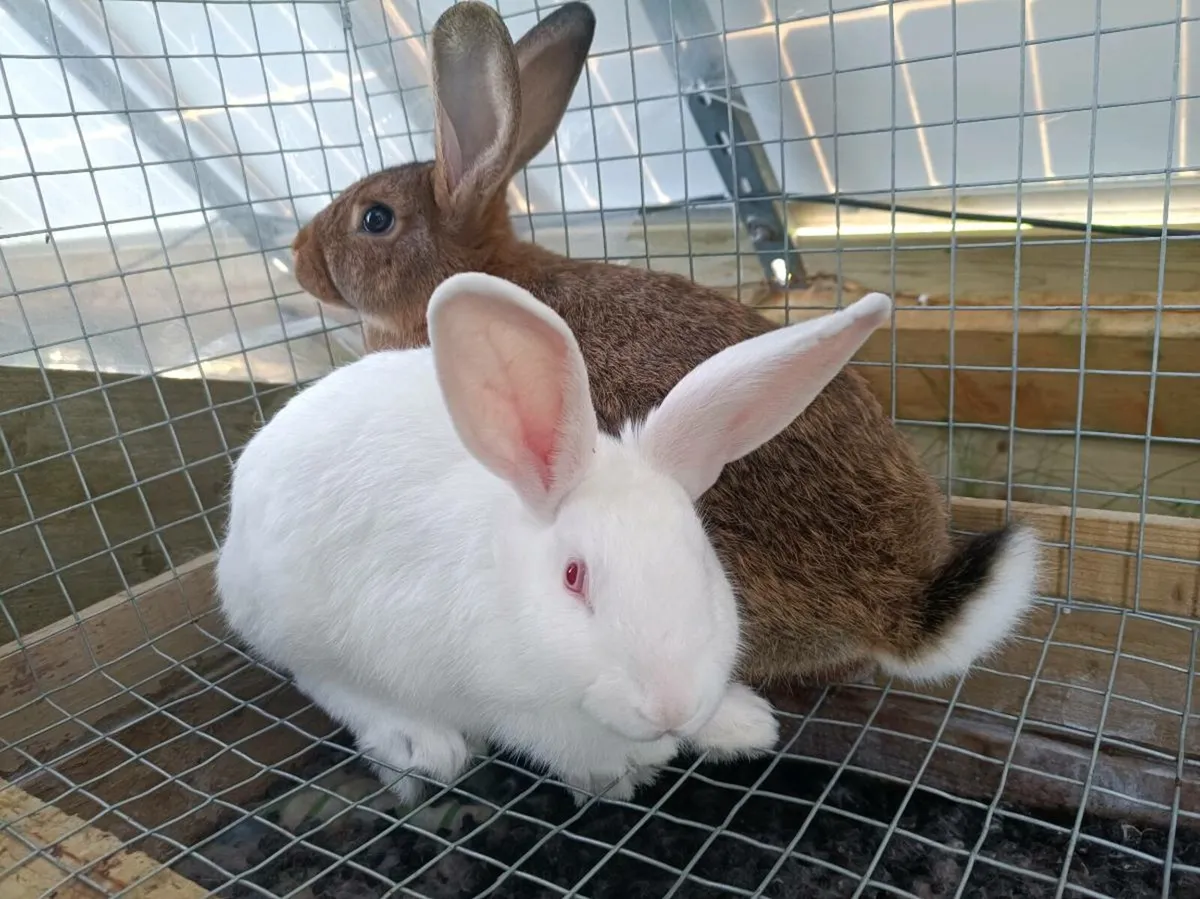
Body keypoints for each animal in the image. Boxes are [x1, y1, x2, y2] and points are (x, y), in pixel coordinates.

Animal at [217, 274, 901, 804]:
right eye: (574, 577)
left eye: (702, 564)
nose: (670, 707)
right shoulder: (509, 704)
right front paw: (618, 775)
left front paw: (742, 725)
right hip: (299, 625)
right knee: (327, 683)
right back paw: (421, 744)